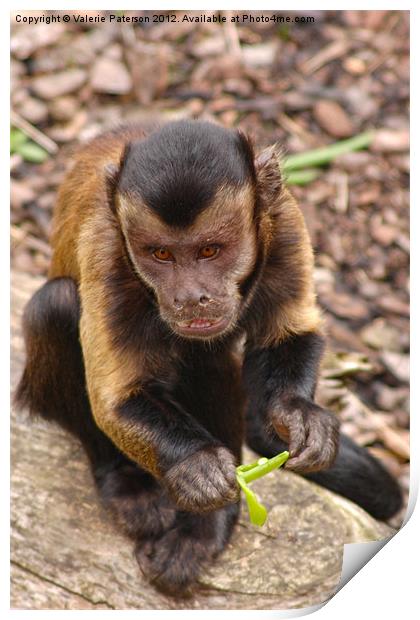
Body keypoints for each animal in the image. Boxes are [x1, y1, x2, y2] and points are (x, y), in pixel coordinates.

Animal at [15, 120, 404, 596]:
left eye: (210, 251)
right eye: (161, 254)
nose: (189, 296)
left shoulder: (285, 220)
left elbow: (291, 332)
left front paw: (298, 414)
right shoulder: (105, 250)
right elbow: (115, 399)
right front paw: (195, 464)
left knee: (207, 358)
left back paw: (209, 521)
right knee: (55, 306)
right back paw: (132, 486)